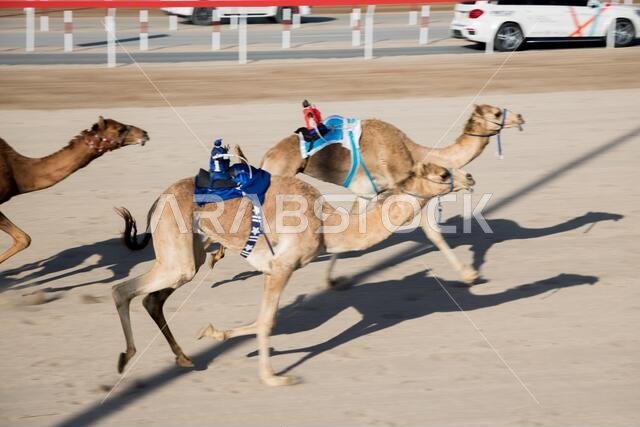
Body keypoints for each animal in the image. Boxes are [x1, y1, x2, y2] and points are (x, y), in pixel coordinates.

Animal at [112, 155, 474, 385]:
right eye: (443, 174)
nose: (469, 178)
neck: (327, 225)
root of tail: (157, 202)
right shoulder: (281, 268)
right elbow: (268, 321)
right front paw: (273, 378)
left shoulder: (275, 270)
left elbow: (262, 320)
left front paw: (214, 333)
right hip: (177, 253)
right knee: (122, 289)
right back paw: (126, 357)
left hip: (192, 251)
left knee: (153, 298)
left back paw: (184, 359)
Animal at [259, 104, 525, 285]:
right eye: (496, 114)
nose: (520, 117)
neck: (412, 152)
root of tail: (267, 156)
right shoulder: (403, 188)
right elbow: (432, 232)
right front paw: (469, 274)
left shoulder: (368, 194)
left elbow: (352, 224)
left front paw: (334, 281)